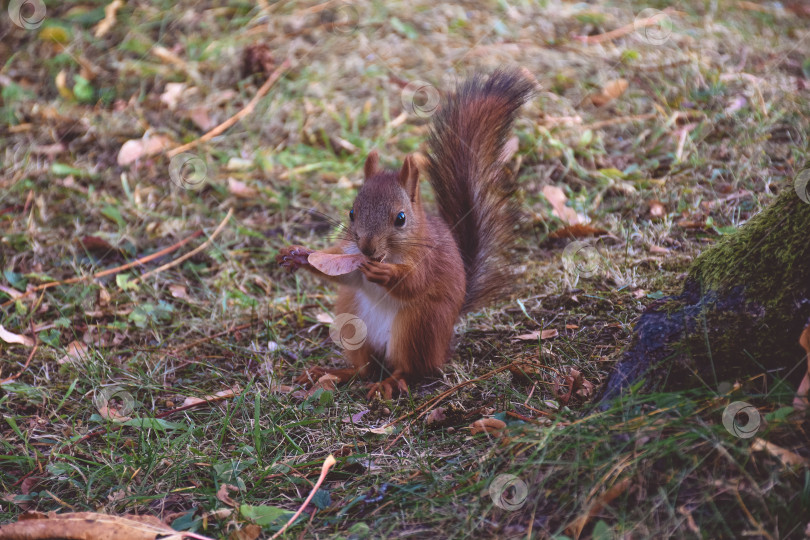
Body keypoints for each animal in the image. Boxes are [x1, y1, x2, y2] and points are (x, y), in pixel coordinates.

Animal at [274, 67, 532, 398]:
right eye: (352, 213)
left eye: (400, 218)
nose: (368, 249)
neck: (390, 254)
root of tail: (443, 344)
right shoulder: (350, 256)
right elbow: (343, 274)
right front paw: (298, 255)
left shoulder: (428, 259)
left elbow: (415, 282)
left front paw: (388, 275)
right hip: (353, 321)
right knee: (364, 368)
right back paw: (334, 372)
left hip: (417, 327)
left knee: (410, 369)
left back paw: (390, 382)